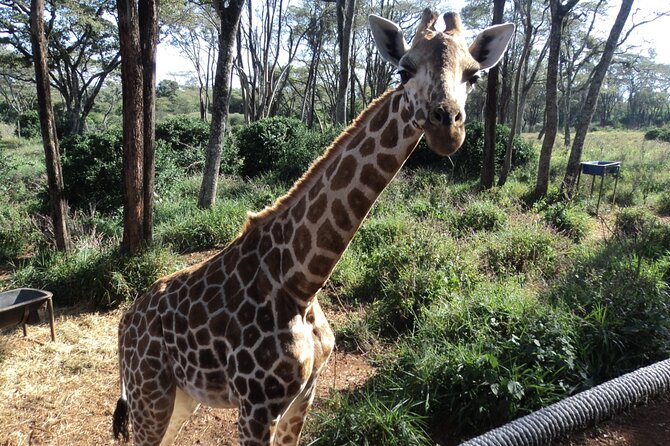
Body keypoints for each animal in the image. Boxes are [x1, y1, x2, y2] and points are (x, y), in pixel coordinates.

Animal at [112, 8, 513, 446]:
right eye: (404, 71)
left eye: (473, 76)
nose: (448, 128)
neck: (302, 283)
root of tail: (124, 323)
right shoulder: (256, 407)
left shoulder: (304, 394)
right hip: (149, 393)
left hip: (181, 397)